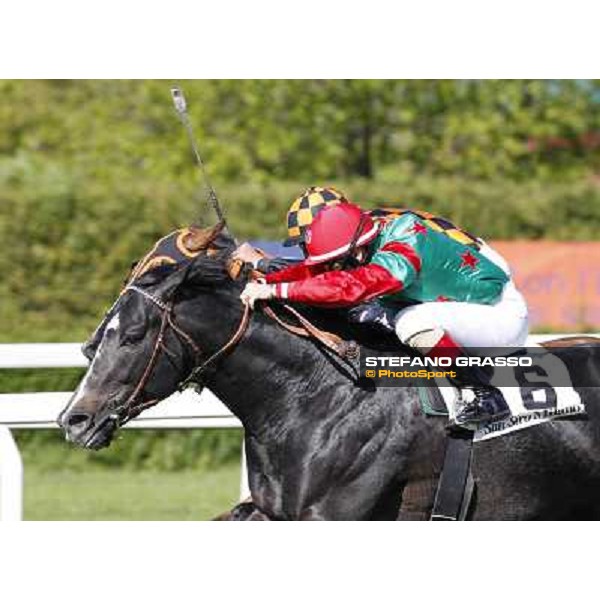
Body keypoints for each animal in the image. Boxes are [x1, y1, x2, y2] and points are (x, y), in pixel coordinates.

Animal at [58, 225, 600, 520]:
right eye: (99, 336)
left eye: (132, 335)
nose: (73, 420)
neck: (319, 398)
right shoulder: (273, 511)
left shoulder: (336, 511)